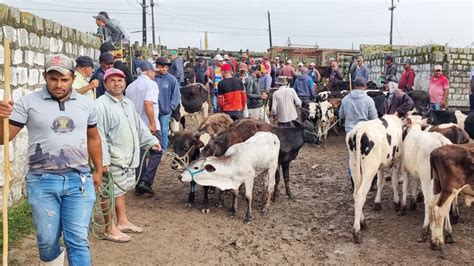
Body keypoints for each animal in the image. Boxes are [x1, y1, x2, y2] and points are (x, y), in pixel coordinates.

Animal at [346, 114, 402, 243]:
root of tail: (360, 129)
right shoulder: (397, 160)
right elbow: (394, 181)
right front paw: (397, 202)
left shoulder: (380, 166)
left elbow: (380, 183)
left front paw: (378, 202)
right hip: (369, 169)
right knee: (361, 195)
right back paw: (356, 231)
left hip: (354, 166)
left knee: (355, 194)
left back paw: (362, 221)